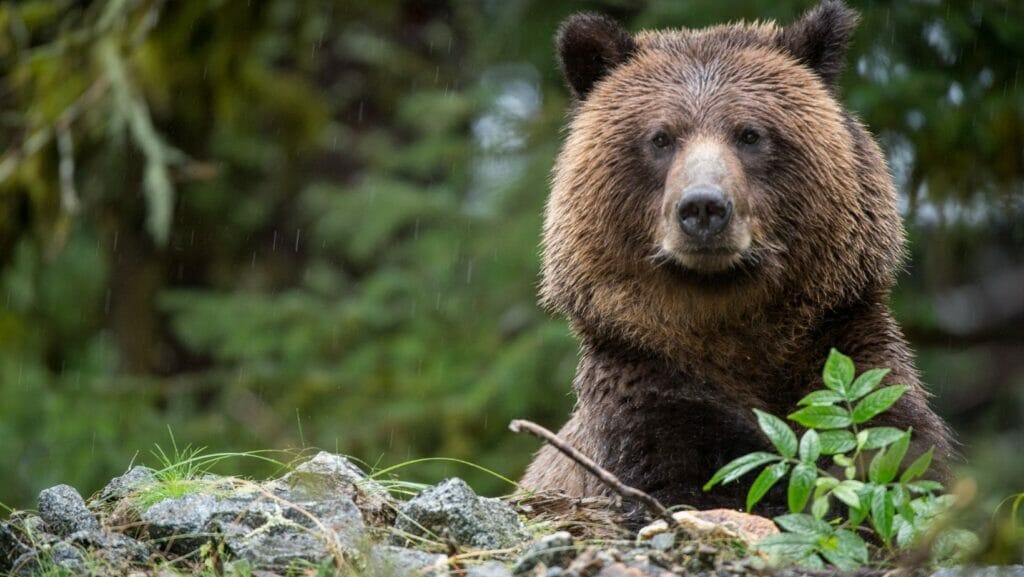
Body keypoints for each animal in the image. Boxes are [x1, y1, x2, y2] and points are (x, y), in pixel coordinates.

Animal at [520, 1, 955, 513]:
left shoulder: (848, 353)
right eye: (661, 138)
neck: (730, 324)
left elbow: (898, 450)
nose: (703, 207)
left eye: (749, 134)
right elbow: (691, 475)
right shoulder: (646, 388)